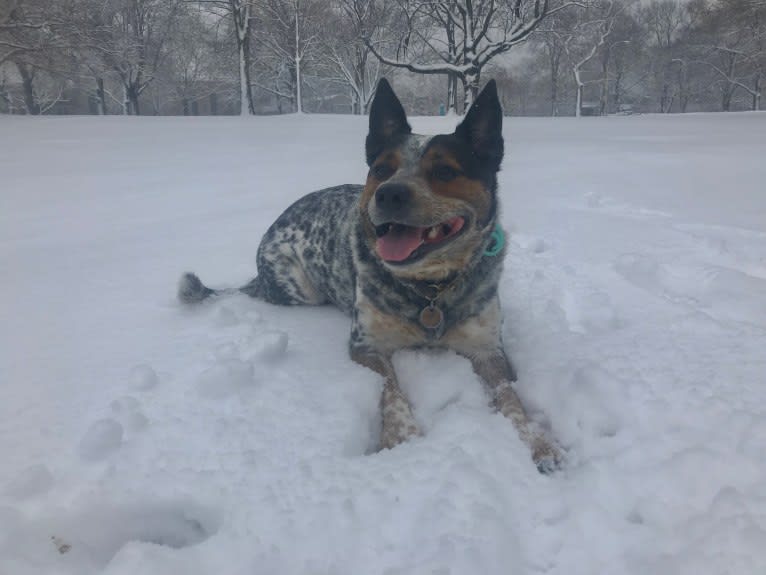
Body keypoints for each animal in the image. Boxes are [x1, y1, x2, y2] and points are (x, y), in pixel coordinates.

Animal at [181, 77, 564, 472]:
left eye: (444, 171)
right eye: (381, 169)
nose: (389, 193)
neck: (430, 288)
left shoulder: (487, 349)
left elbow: (511, 397)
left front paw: (539, 442)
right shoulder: (366, 344)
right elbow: (389, 389)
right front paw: (402, 438)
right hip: (301, 287)